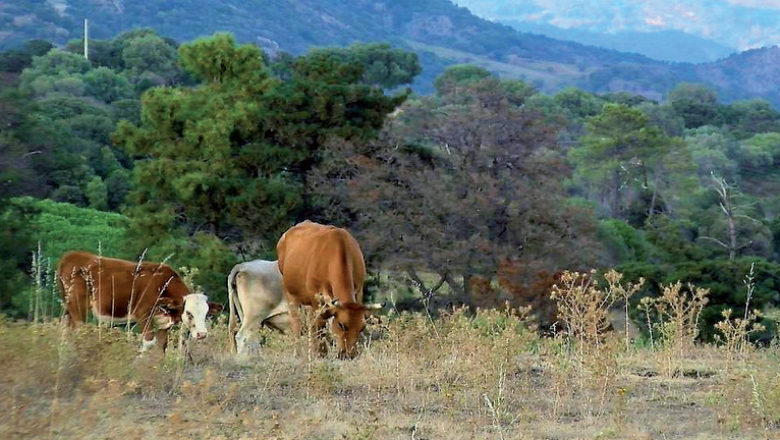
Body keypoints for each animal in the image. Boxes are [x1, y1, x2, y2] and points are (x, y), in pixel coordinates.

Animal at [57, 251, 222, 353]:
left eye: (206, 314)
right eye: (188, 313)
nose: (201, 334)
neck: (163, 285)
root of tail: (71, 255)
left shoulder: (163, 323)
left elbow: (161, 346)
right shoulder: (143, 313)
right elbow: (149, 342)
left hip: (69, 306)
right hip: (78, 305)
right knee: (77, 329)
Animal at [276, 220, 382, 359]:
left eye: (362, 327)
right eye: (342, 324)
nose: (349, 355)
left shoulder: (359, 292)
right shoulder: (316, 299)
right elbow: (319, 326)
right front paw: (320, 354)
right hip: (289, 293)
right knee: (297, 322)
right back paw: (298, 352)